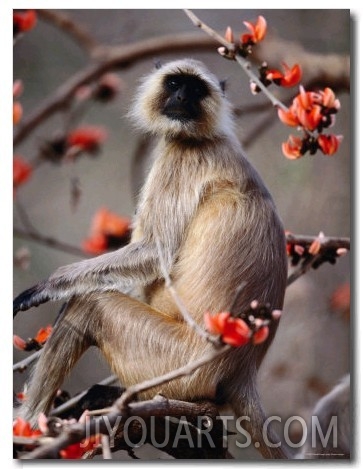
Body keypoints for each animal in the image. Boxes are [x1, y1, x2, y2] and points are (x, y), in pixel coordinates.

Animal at [12, 58, 288, 458]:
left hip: (176, 363)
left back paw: (29, 427)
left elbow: (154, 252)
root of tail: (243, 371)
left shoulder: (181, 158)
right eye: (174, 83)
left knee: (92, 305)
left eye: (196, 89)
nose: (181, 97)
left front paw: (50, 286)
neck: (203, 137)